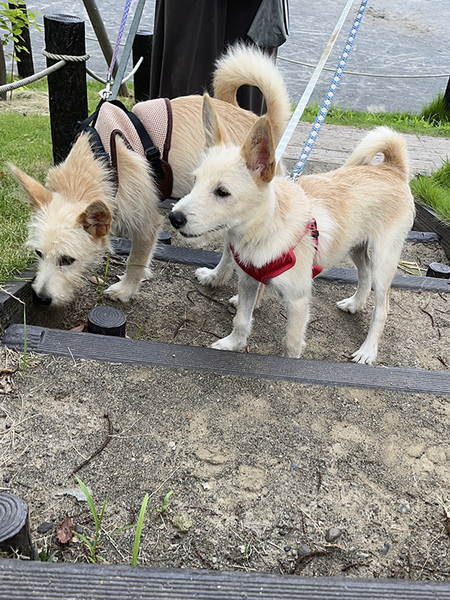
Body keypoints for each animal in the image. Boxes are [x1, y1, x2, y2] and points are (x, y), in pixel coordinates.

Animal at [10, 44, 290, 306]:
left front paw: (125, 290)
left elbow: (135, 260)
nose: (41, 299)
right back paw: (217, 276)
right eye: (38, 254)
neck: (101, 158)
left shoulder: (147, 222)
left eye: (67, 260)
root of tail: (264, 121)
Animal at [168, 95, 416, 364]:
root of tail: (392, 168)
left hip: (384, 259)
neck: (265, 229)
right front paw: (233, 344)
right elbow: (242, 319)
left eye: (222, 192)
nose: (174, 217)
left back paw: (368, 350)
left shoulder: (298, 301)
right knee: (364, 274)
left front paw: (289, 363)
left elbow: (291, 341)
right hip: (356, 247)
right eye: (195, 181)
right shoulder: (248, 280)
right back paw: (355, 303)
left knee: (382, 308)